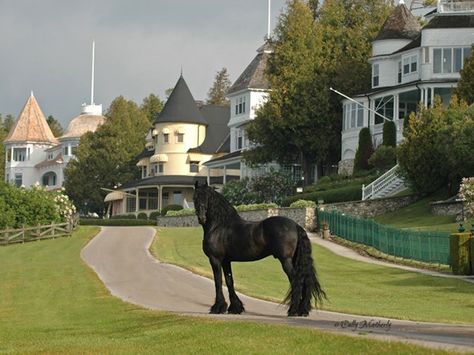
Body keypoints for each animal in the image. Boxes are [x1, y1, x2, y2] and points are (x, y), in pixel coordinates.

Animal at [193, 182, 326, 318]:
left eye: (207, 198)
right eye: (195, 197)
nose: (202, 218)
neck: (219, 226)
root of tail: (295, 225)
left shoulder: (215, 259)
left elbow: (218, 281)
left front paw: (217, 307)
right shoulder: (226, 261)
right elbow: (229, 281)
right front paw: (235, 308)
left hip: (286, 260)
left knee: (296, 281)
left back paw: (293, 310)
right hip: (294, 260)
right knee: (304, 281)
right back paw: (302, 310)